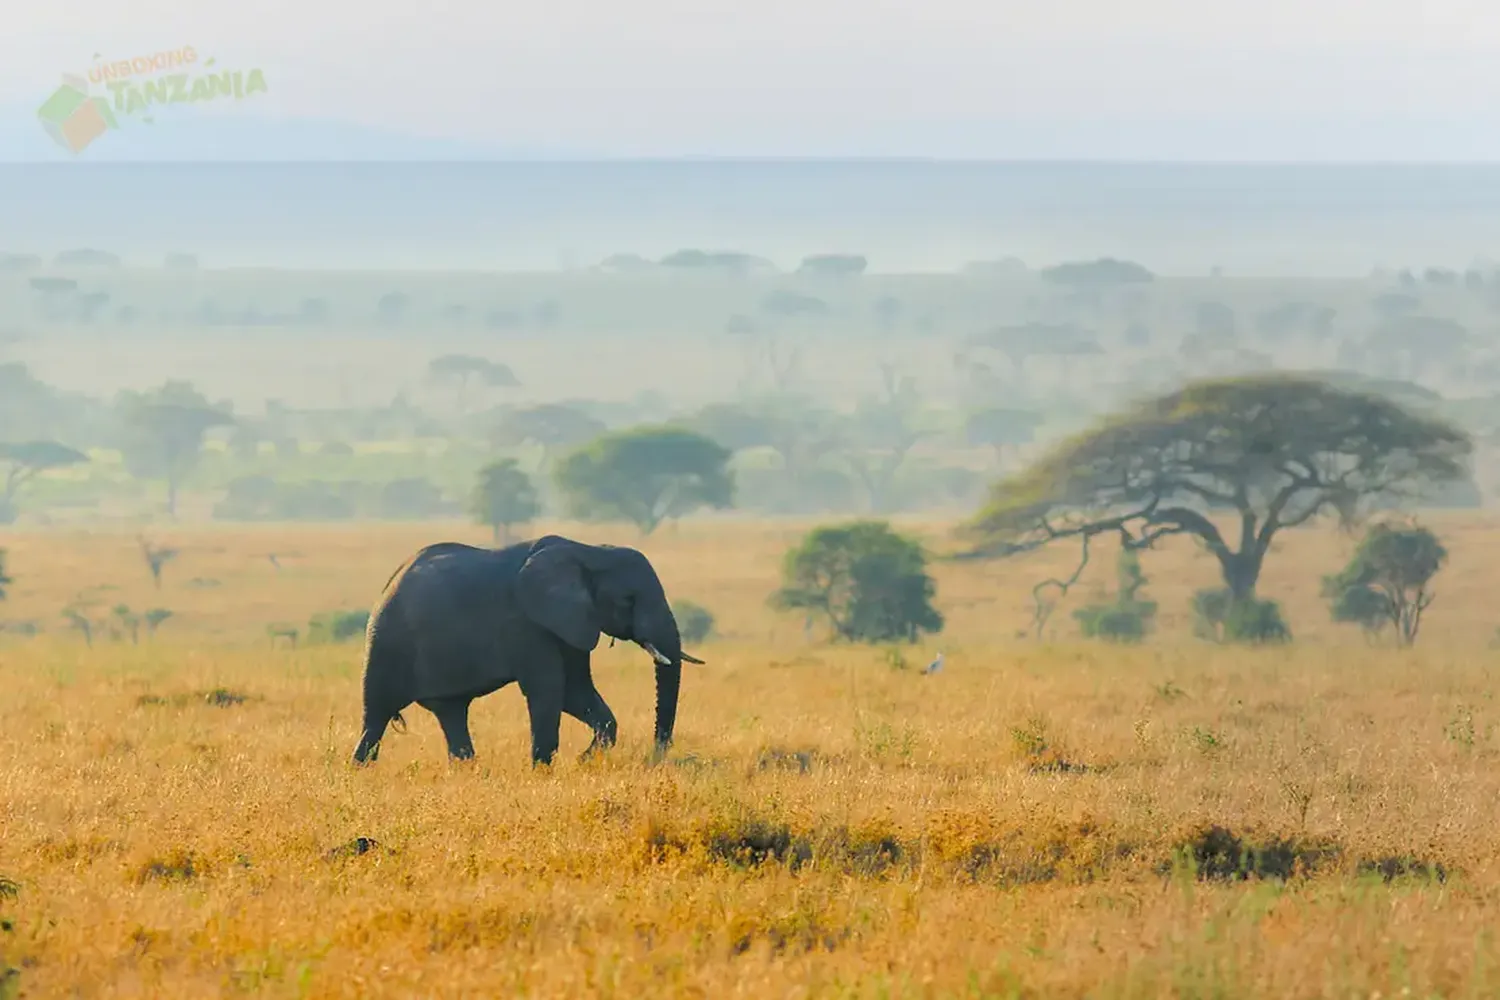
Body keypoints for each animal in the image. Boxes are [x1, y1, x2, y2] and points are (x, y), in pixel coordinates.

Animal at [351, 534, 705, 768]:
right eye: (628, 599)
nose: (656, 755)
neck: (588, 552)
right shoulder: (528, 625)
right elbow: (549, 689)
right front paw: (543, 770)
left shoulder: (571, 622)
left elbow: (575, 691)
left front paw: (584, 760)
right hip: (386, 642)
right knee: (377, 714)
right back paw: (361, 769)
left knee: (451, 712)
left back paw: (467, 770)